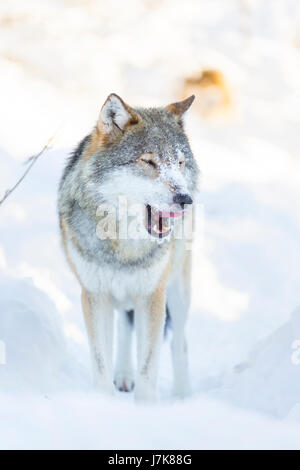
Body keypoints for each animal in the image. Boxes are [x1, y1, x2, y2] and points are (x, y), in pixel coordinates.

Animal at [58, 93, 199, 402]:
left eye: (180, 162)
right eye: (149, 161)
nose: (185, 199)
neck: (123, 248)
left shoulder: (152, 295)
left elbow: (148, 366)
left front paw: (145, 407)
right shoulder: (95, 295)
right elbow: (101, 363)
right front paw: (105, 403)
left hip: (178, 292)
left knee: (180, 343)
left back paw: (183, 397)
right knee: (125, 324)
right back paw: (123, 376)